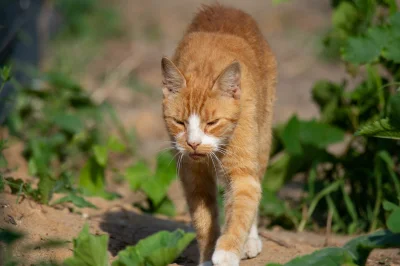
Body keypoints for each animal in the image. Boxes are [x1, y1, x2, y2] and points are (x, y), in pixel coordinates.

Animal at [161, 4, 276, 266]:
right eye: (179, 122)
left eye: (212, 123)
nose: (193, 143)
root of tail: (224, 7)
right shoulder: (193, 178)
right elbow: (204, 222)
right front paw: (207, 256)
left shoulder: (243, 174)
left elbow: (241, 212)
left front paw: (227, 252)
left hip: (262, 144)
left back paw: (250, 241)